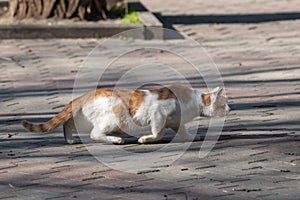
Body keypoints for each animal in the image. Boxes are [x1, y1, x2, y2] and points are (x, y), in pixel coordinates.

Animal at [22, 84, 231, 144]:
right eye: (225, 103)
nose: (230, 109)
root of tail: (82, 96)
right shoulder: (159, 114)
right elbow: (157, 132)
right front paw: (145, 139)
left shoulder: (174, 122)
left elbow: (180, 132)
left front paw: (191, 137)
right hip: (113, 117)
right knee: (95, 134)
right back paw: (116, 139)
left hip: (84, 119)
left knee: (68, 123)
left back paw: (70, 139)